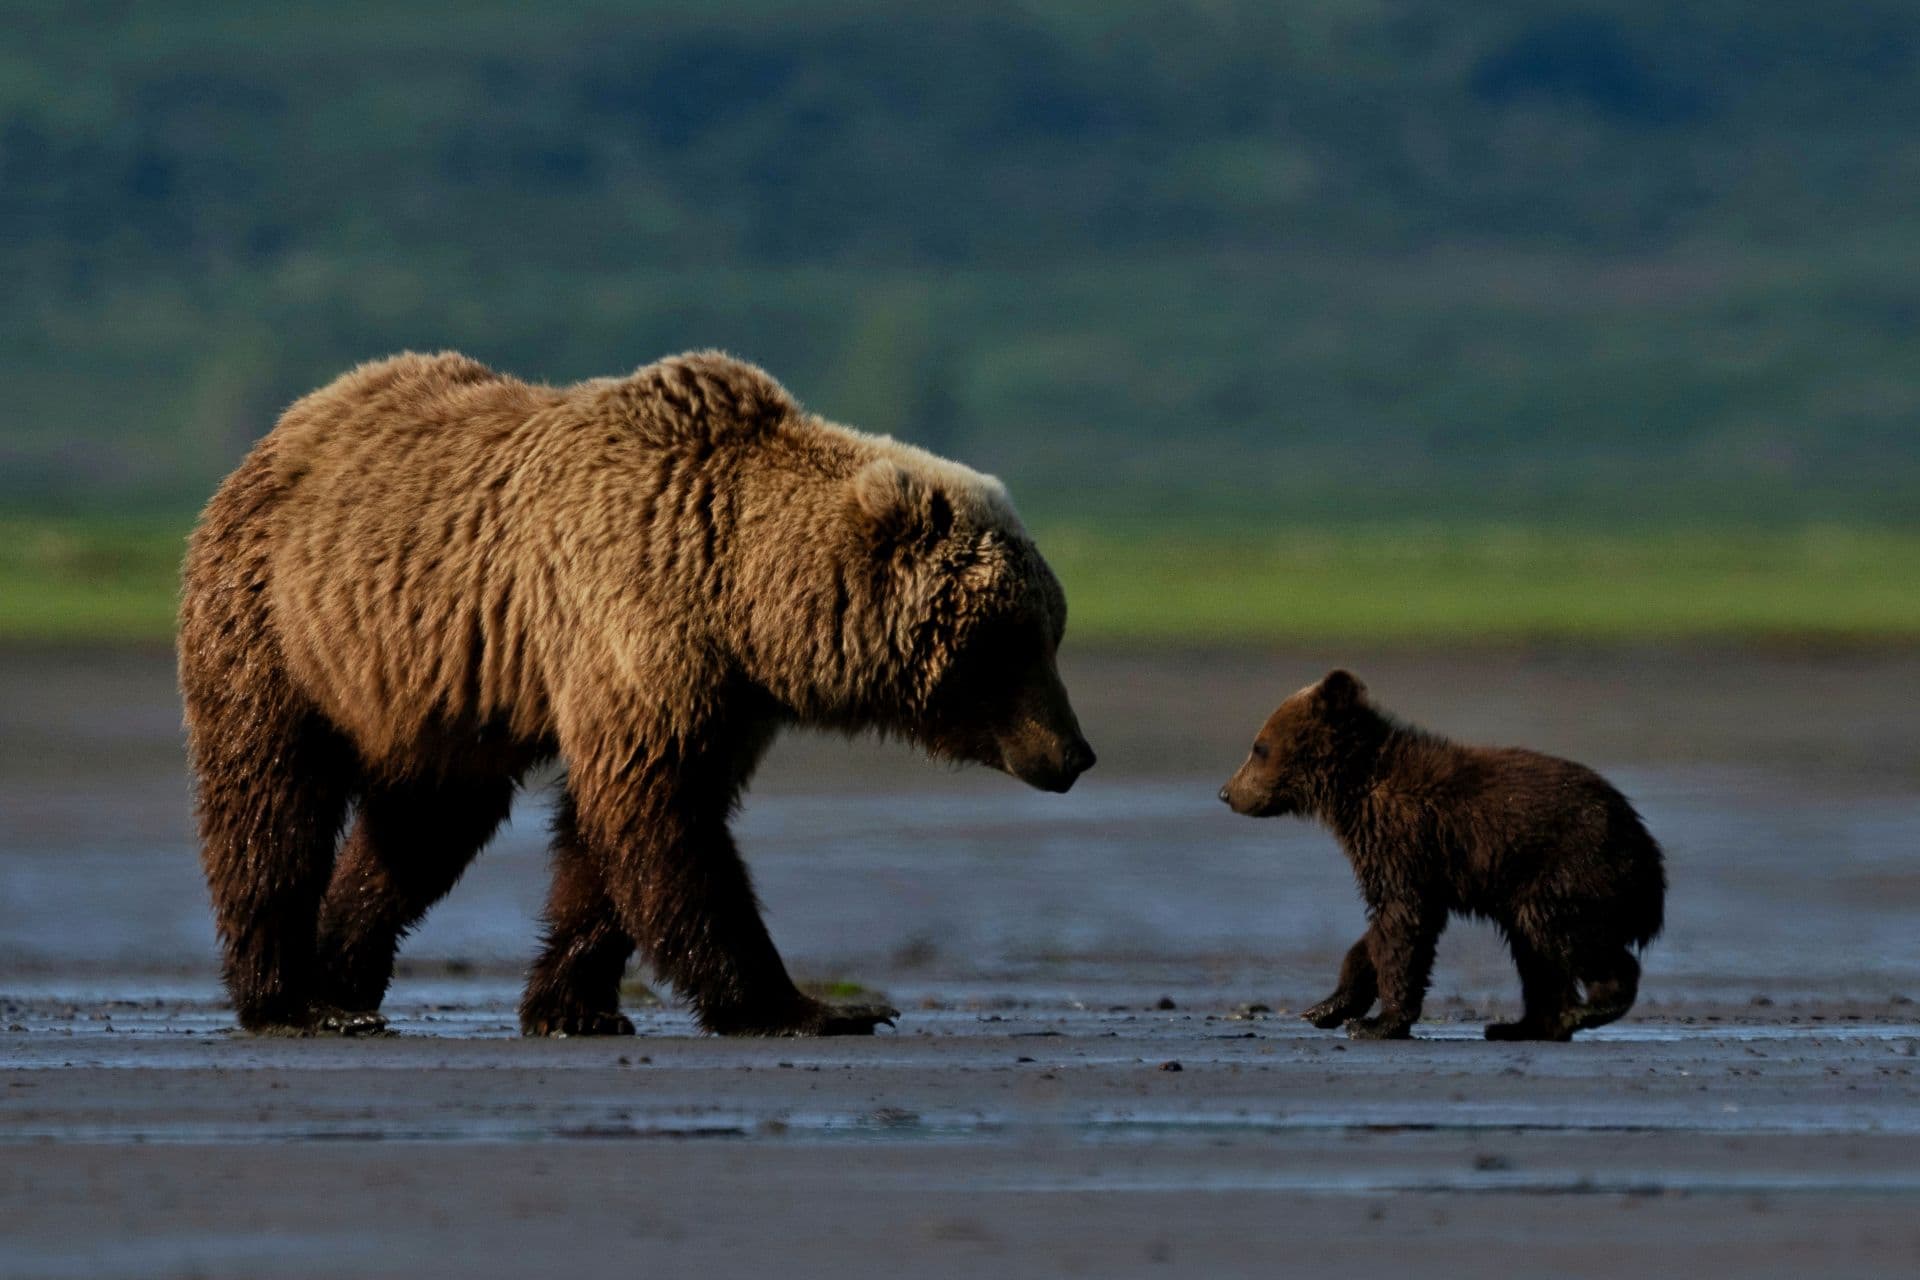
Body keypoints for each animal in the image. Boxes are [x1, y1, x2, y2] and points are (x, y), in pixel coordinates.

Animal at [178, 350, 1095, 1037]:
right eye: (1013, 638)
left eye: (1050, 627)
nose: (1075, 753)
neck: (742, 590)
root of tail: (283, 428)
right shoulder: (633, 618)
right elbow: (661, 822)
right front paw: (809, 1006)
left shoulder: (725, 695)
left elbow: (617, 834)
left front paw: (571, 1005)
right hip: (278, 623)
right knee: (270, 799)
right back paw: (288, 999)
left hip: (440, 690)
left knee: (422, 828)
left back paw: (341, 977)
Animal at [1219, 670, 1664, 1042]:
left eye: (1259, 747)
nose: (1226, 792)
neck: (1355, 790)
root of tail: (1648, 849)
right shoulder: (1392, 857)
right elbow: (1378, 932)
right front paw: (1327, 1006)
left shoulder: (1406, 840)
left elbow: (1403, 927)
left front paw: (1377, 1023)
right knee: (1536, 952)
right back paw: (1522, 1026)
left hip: (1566, 869)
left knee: (1564, 937)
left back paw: (1588, 1007)